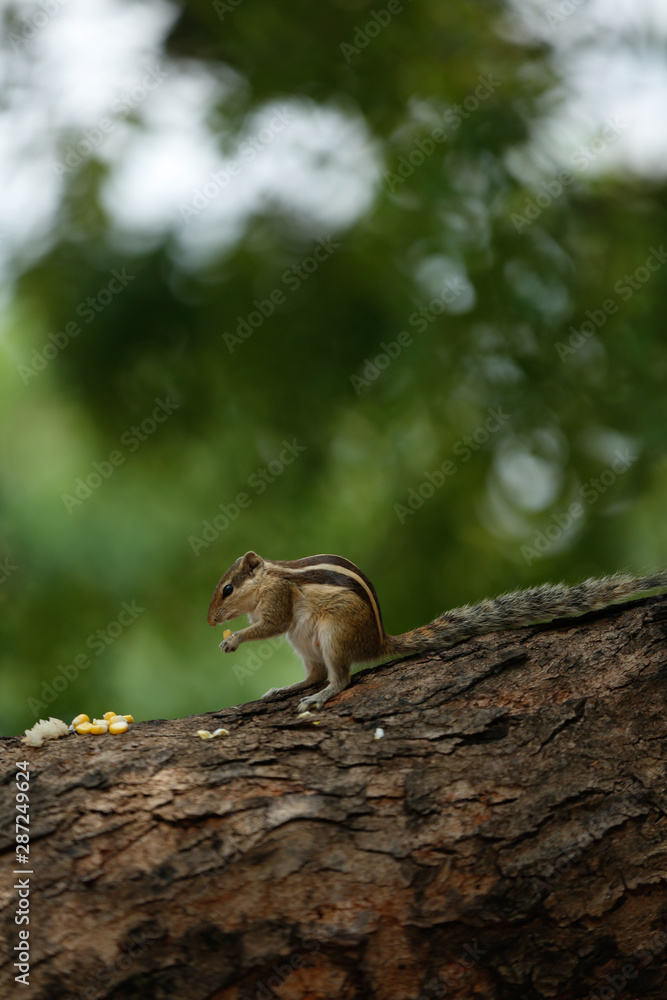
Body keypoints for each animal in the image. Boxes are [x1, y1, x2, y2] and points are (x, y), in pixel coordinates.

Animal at [207, 552, 667, 713]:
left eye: (227, 588)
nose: (212, 621)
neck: (268, 580)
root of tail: (378, 640)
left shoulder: (279, 600)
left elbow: (270, 625)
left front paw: (234, 640)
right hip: (307, 645)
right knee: (314, 674)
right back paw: (286, 689)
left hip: (334, 635)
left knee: (338, 679)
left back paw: (320, 697)